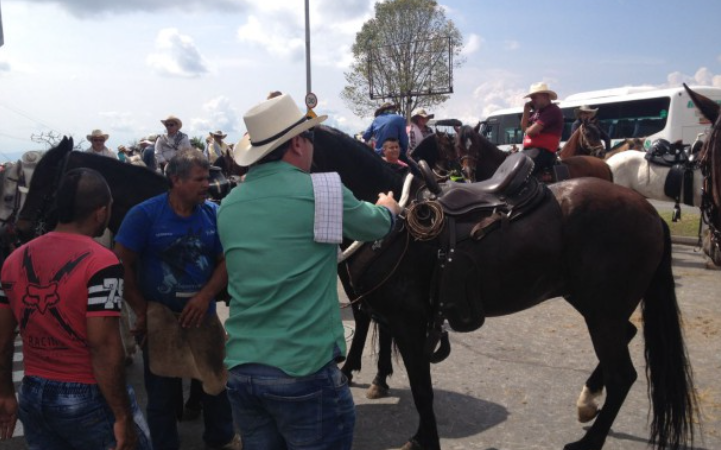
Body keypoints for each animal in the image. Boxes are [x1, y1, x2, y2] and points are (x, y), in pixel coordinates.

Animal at [312, 124, 696, 450]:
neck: (392, 220)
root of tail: (648, 211)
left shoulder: (407, 323)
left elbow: (422, 389)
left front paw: (423, 438)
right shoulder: (395, 318)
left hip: (602, 312)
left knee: (622, 376)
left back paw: (588, 439)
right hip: (596, 306)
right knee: (627, 337)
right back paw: (588, 400)